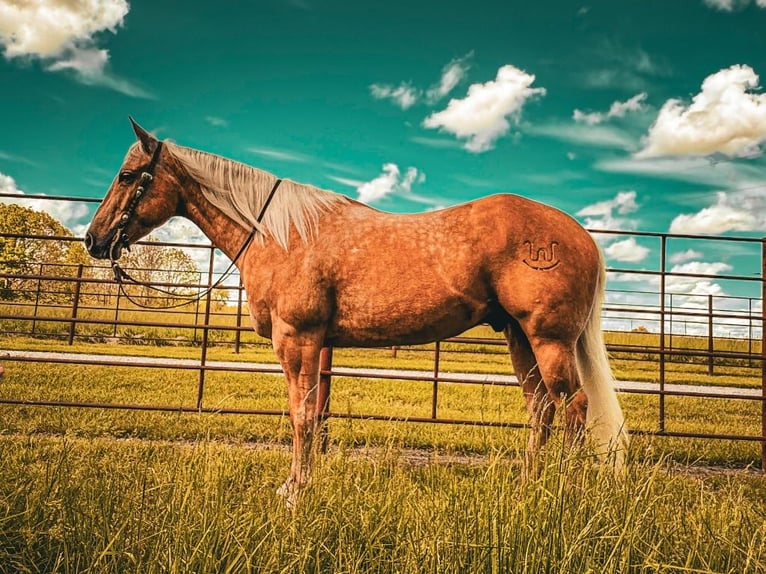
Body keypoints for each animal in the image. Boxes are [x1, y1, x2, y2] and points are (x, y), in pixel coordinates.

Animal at [87, 119, 632, 506]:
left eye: (127, 176)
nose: (93, 240)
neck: (280, 233)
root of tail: (580, 235)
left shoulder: (298, 340)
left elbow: (302, 416)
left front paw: (295, 492)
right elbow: (308, 414)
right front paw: (299, 486)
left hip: (549, 339)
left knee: (574, 407)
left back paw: (560, 492)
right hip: (518, 337)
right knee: (541, 408)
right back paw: (528, 486)